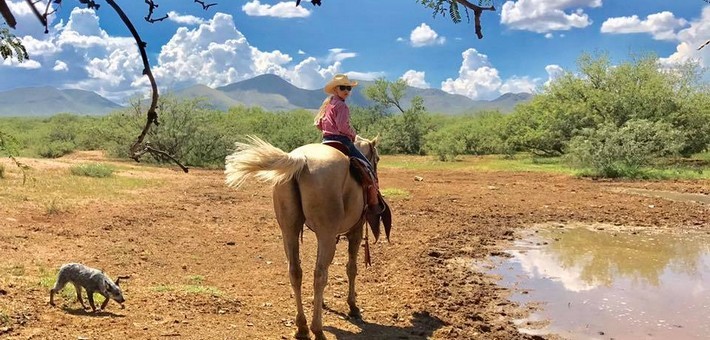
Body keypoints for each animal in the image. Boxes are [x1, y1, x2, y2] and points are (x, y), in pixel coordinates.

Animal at [225, 134, 386, 338]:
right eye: (377, 159)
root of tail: (300, 160)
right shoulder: (355, 231)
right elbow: (351, 268)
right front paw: (353, 307)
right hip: (325, 234)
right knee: (320, 274)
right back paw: (317, 329)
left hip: (290, 230)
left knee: (295, 271)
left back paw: (302, 327)